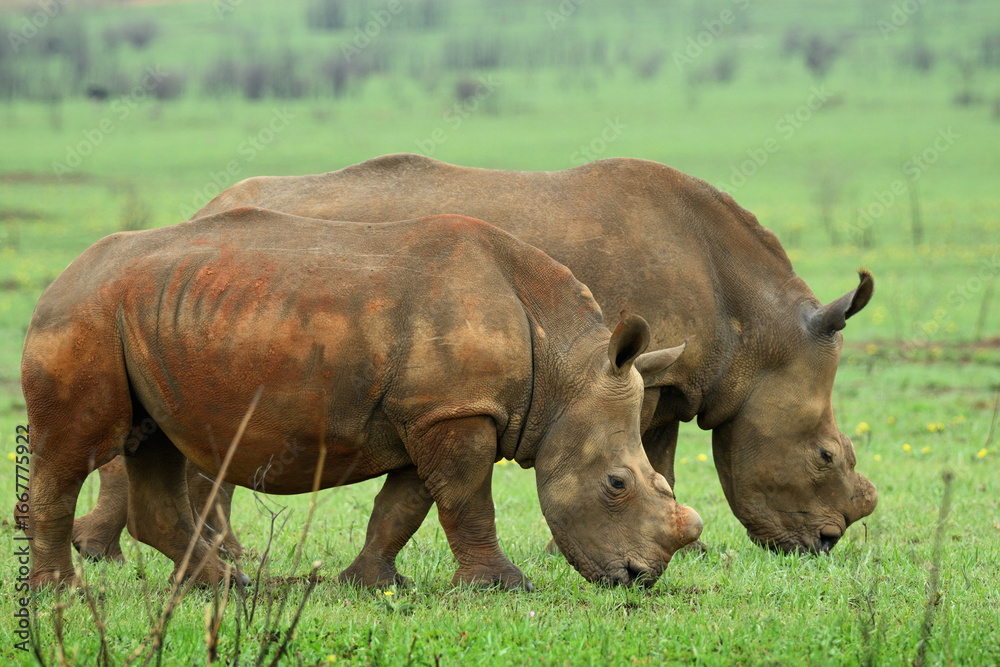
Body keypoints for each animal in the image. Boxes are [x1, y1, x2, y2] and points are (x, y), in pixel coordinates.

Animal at [22, 210, 701, 590]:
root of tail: (60, 278)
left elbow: (405, 505)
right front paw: (504, 588)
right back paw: (64, 594)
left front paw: (372, 583)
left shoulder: (433, 411)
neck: (564, 367)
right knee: (75, 450)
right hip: (83, 318)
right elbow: (466, 498)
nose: (640, 580)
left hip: (143, 320)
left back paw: (225, 588)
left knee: (155, 444)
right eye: (616, 485)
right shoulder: (455, 411)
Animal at [74, 153, 877, 558]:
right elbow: (650, 456)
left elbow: (659, 454)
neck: (758, 330)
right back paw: (151, 556)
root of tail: (204, 208)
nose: (824, 543)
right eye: (826, 457)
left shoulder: (659, 375)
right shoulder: (642, 371)